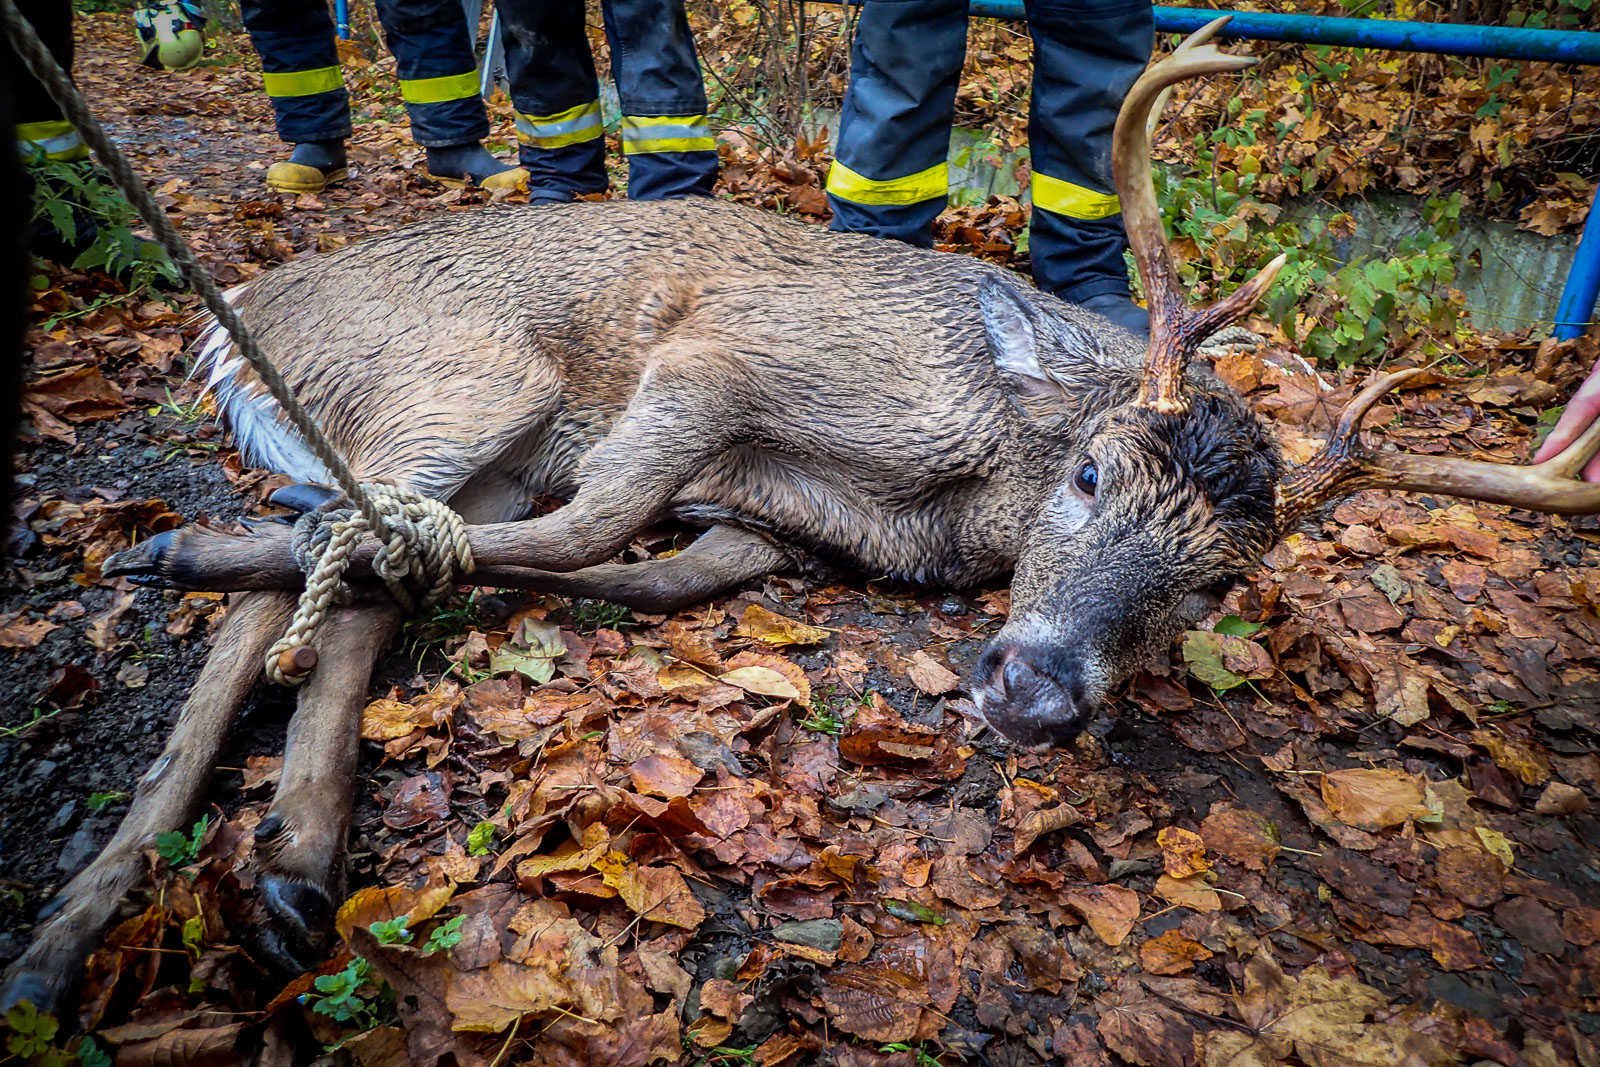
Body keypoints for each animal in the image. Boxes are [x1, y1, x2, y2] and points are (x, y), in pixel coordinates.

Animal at [6, 18, 1593, 1011]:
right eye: (1089, 477)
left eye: (1217, 584)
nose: (1036, 685)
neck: (957, 489)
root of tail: (227, 327)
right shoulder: (716, 354)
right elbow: (593, 531)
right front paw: (184, 547)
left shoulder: (772, 521)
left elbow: (645, 573)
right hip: (474, 378)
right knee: (344, 545)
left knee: (328, 588)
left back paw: (220, 887)